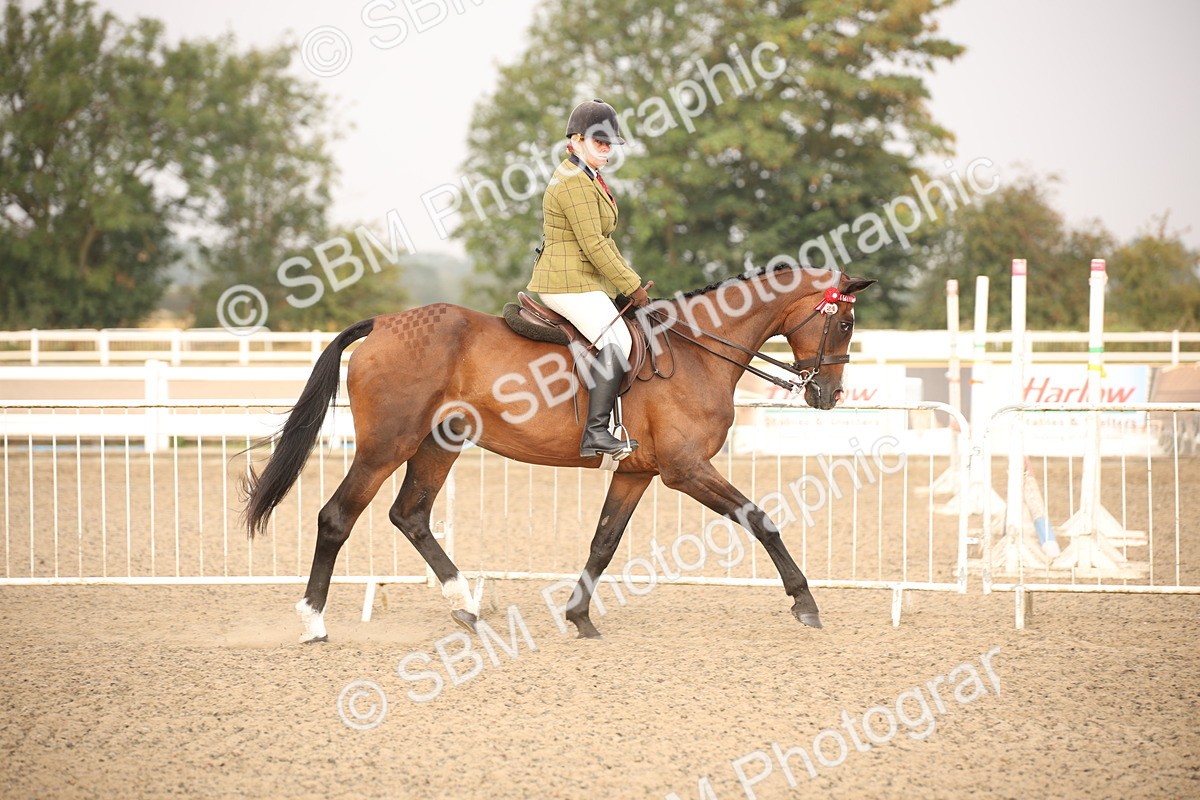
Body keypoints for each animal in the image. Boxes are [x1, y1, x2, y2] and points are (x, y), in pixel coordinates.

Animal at [242, 265, 876, 642]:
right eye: (845, 323)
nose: (828, 395)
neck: (697, 352)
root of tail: (382, 326)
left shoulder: (638, 472)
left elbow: (603, 542)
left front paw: (579, 617)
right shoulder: (685, 470)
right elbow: (760, 519)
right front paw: (805, 603)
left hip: (438, 444)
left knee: (411, 515)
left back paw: (466, 605)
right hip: (385, 446)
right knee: (337, 517)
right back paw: (314, 621)